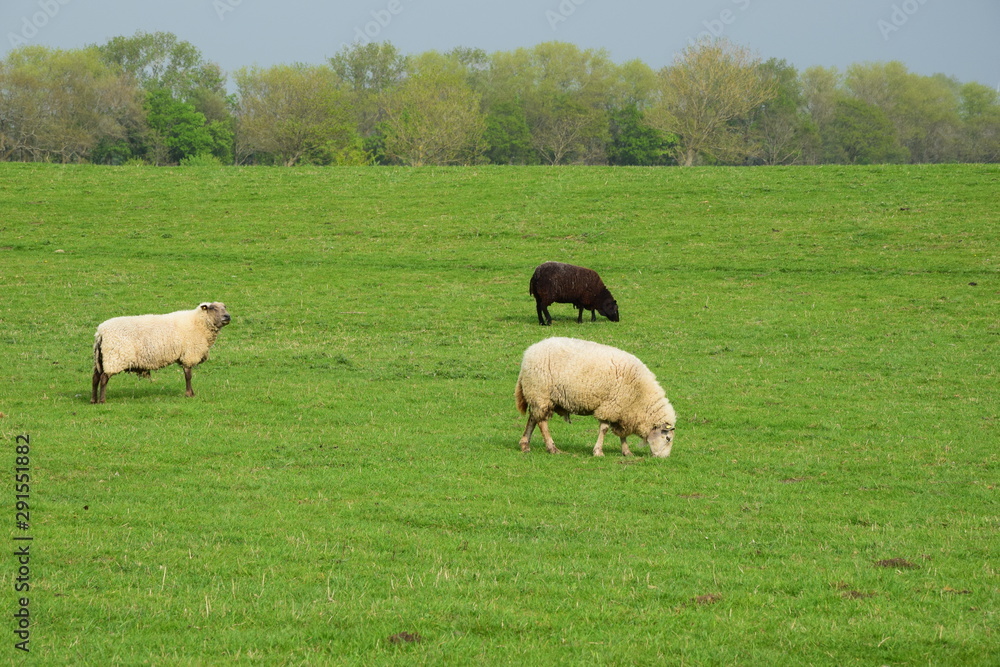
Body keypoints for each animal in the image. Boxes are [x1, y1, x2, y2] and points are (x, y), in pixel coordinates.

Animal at [89, 302, 230, 404]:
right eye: (213, 308)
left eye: (224, 307)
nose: (227, 317)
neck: (198, 322)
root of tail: (100, 332)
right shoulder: (188, 355)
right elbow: (188, 376)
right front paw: (189, 394)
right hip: (114, 357)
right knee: (103, 378)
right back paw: (102, 400)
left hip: (100, 359)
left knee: (95, 378)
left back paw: (93, 400)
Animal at [512, 336, 676, 456]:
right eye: (667, 438)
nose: (663, 458)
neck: (639, 395)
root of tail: (529, 352)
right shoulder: (610, 406)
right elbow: (604, 429)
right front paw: (598, 452)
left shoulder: (621, 410)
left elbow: (622, 434)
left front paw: (626, 452)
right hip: (541, 392)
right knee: (542, 422)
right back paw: (552, 448)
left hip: (537, 395)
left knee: (533, 418)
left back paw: (525, 445)